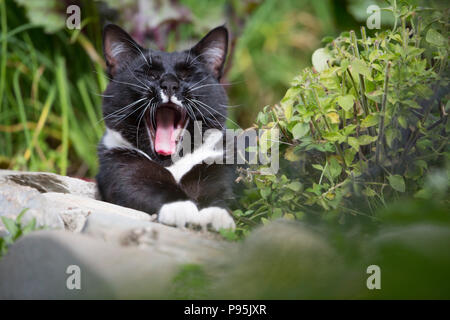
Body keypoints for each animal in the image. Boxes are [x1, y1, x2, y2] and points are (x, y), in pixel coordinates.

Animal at [95, 23, 236, 231]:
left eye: (187, 75)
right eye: (150, 74)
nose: (169, 84)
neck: (170, 163)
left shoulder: (216, 160)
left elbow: (218, 189)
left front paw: (216, 214)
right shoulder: (119, 164)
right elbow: (142, 183)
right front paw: (180, 207)